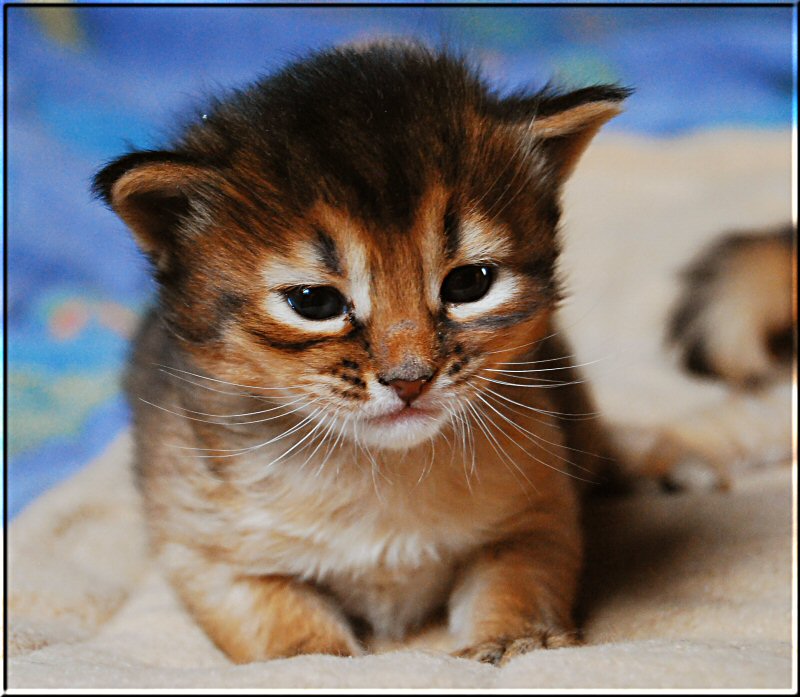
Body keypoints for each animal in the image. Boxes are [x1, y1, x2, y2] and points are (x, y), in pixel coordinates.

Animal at [94, 42, 628, 664]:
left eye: (470, 283)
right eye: (314, 302)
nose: (409, 379)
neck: (381, 470)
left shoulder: (536, 516)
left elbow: (517, 581)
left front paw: (518, 640)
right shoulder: (211, 556)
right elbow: (283, 626)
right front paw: (313, 660)